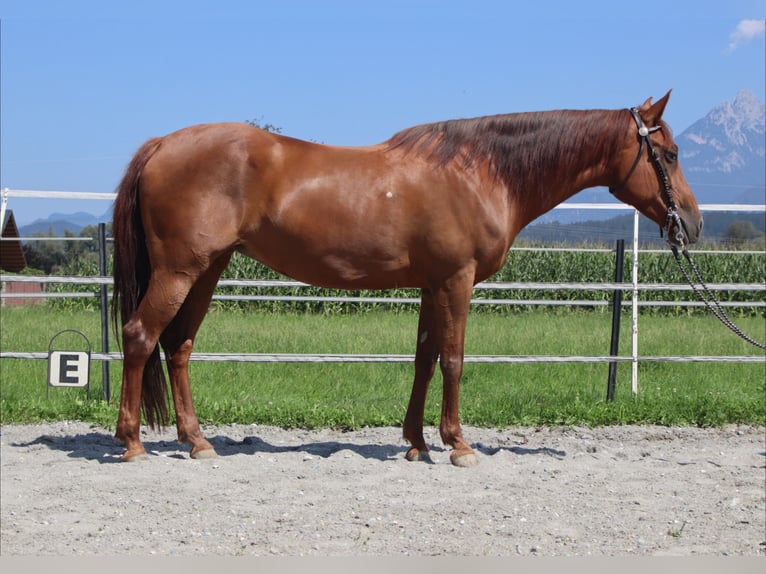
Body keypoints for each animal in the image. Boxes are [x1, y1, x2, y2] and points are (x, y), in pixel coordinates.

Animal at [112, 91, 704, 468]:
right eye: (669, 154)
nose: (692, 225)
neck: (479, 173)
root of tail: (163, 143)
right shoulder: (457, 281)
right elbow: (454, 359)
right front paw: (459, 444)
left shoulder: (430, 284)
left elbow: (424, 359)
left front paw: (417, 442)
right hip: (180, 271)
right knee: (141, 337)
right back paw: (133, 443)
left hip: (207, 270)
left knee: (178, 346)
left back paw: (197, 441)